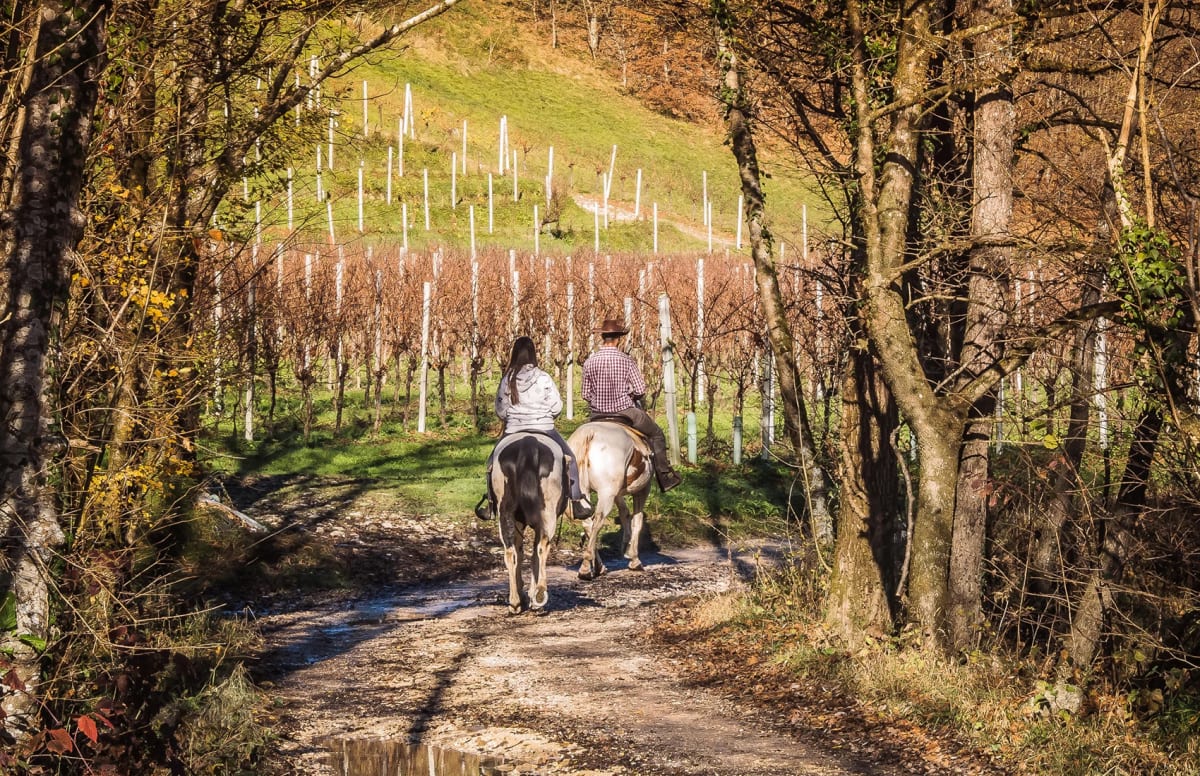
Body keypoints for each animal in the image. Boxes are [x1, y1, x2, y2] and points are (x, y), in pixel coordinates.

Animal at [487, 431, 566, 614]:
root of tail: (528, 442)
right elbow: (533, 555)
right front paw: (531, 594)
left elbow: (520, 552)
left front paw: (523, 594)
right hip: (548, 515)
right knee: (542, 548)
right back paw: (539, 596)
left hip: (506, 514)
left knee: (510, 553)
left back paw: (515, 602)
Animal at [564, 422, 652, 580]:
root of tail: (589, 433)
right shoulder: (642, 490)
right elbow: (637, 520)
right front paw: (634, 559)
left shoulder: (618, 494)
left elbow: (625, 513)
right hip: (606, 494)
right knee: (597, 522)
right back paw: (586, 568)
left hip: (584, 493)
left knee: (588, 523)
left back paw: (598, 566)